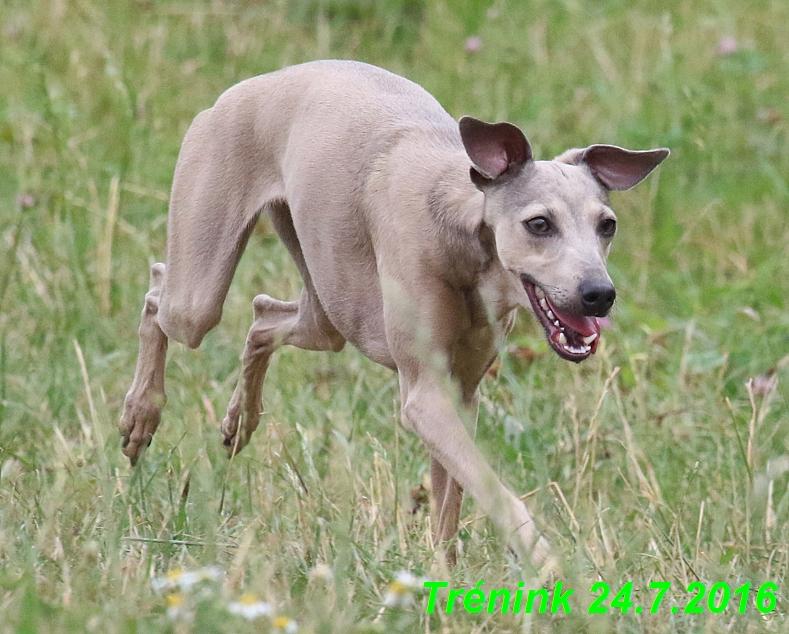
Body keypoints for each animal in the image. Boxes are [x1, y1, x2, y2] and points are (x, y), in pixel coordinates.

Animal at [121, 59, 664, 564]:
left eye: (608, 225)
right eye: (539, 223)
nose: (599, 294)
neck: (463, 234)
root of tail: (254, 83)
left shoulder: (461, 395)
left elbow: (450, 502)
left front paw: (444, 574)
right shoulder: (425, 398)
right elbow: (491, 488)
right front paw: (547, 564)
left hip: (326, 307)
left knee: (261, 315)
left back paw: (240, 419)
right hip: (198, 293)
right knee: (158, 291)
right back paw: (141, 414)